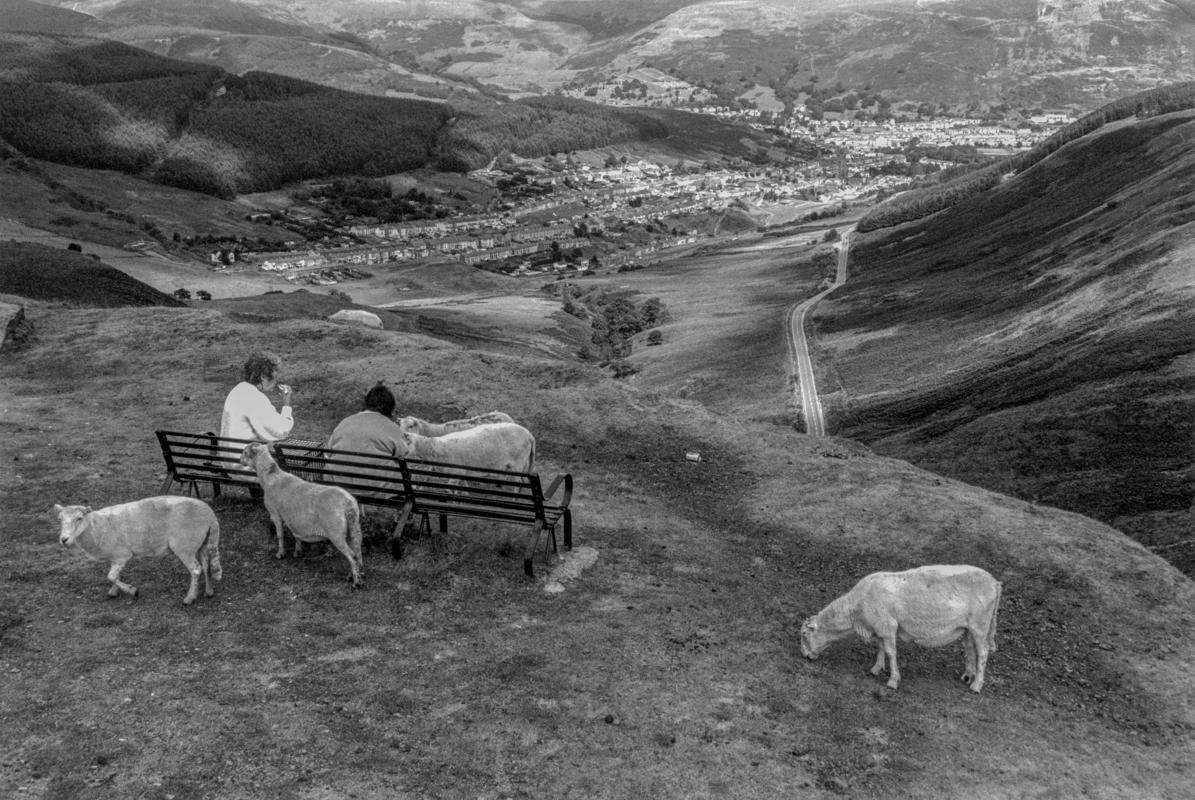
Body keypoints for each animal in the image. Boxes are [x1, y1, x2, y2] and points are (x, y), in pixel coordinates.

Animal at [53, 495, 223, 602]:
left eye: (79, 518)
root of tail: (210, 515)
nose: (64, 540)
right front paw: (114, 592)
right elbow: (115, 575)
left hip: (185, 545)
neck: (97, 527)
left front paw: (132, 590)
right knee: (207, 566)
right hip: (201, 543)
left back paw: (190, 598)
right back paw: (209, 592)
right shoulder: (115, 557)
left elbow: (111, 576)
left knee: (196, 570)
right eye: (59, 519)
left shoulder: (122, 555)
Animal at [235, 440, 360, 583]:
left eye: (245, 452)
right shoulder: (292, 517)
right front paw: (297, 551)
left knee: (351, 555)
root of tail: (348, 503)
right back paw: (353, 575)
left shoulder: (275, 513)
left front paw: (280, 554)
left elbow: (280, 535)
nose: (239, 460)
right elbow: (295, 534)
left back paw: (356, 581)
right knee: (356, 552)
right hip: (353, 528)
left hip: (335, 531)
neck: (270, 476)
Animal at [803, 562, 999, 693]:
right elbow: (880, 648)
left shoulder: (887, 626)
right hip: (968, 627)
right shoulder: (880, 627)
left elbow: (890, 652)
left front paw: (893, 680)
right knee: (969, 648)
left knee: (983, 652)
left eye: (804, 634)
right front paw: (877, 668)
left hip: (980, 625)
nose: (804, 656)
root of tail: (994, 582)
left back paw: (976, 685)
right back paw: (967, 675)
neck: (855, 611)